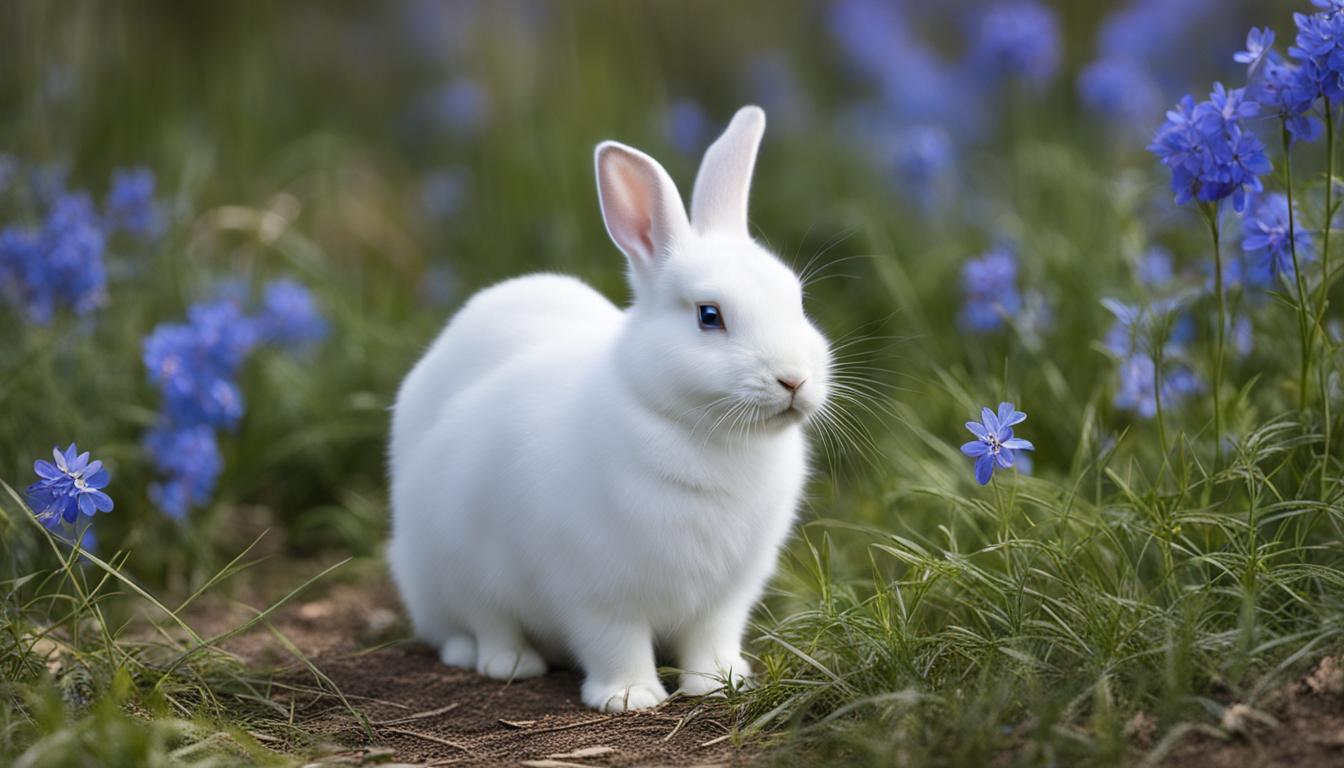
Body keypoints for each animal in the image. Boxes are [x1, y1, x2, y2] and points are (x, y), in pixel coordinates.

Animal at [388, 105, 830, 712]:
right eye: (709, 315)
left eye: (798, 300)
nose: (795, 379)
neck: (702, 433)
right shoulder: (595, 591)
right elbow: (614, 642)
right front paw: (629, 697)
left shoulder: (726, 595)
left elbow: (712, 638)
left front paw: (719, 683)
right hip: (454, 561)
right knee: (481, 621)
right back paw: (506, 662)